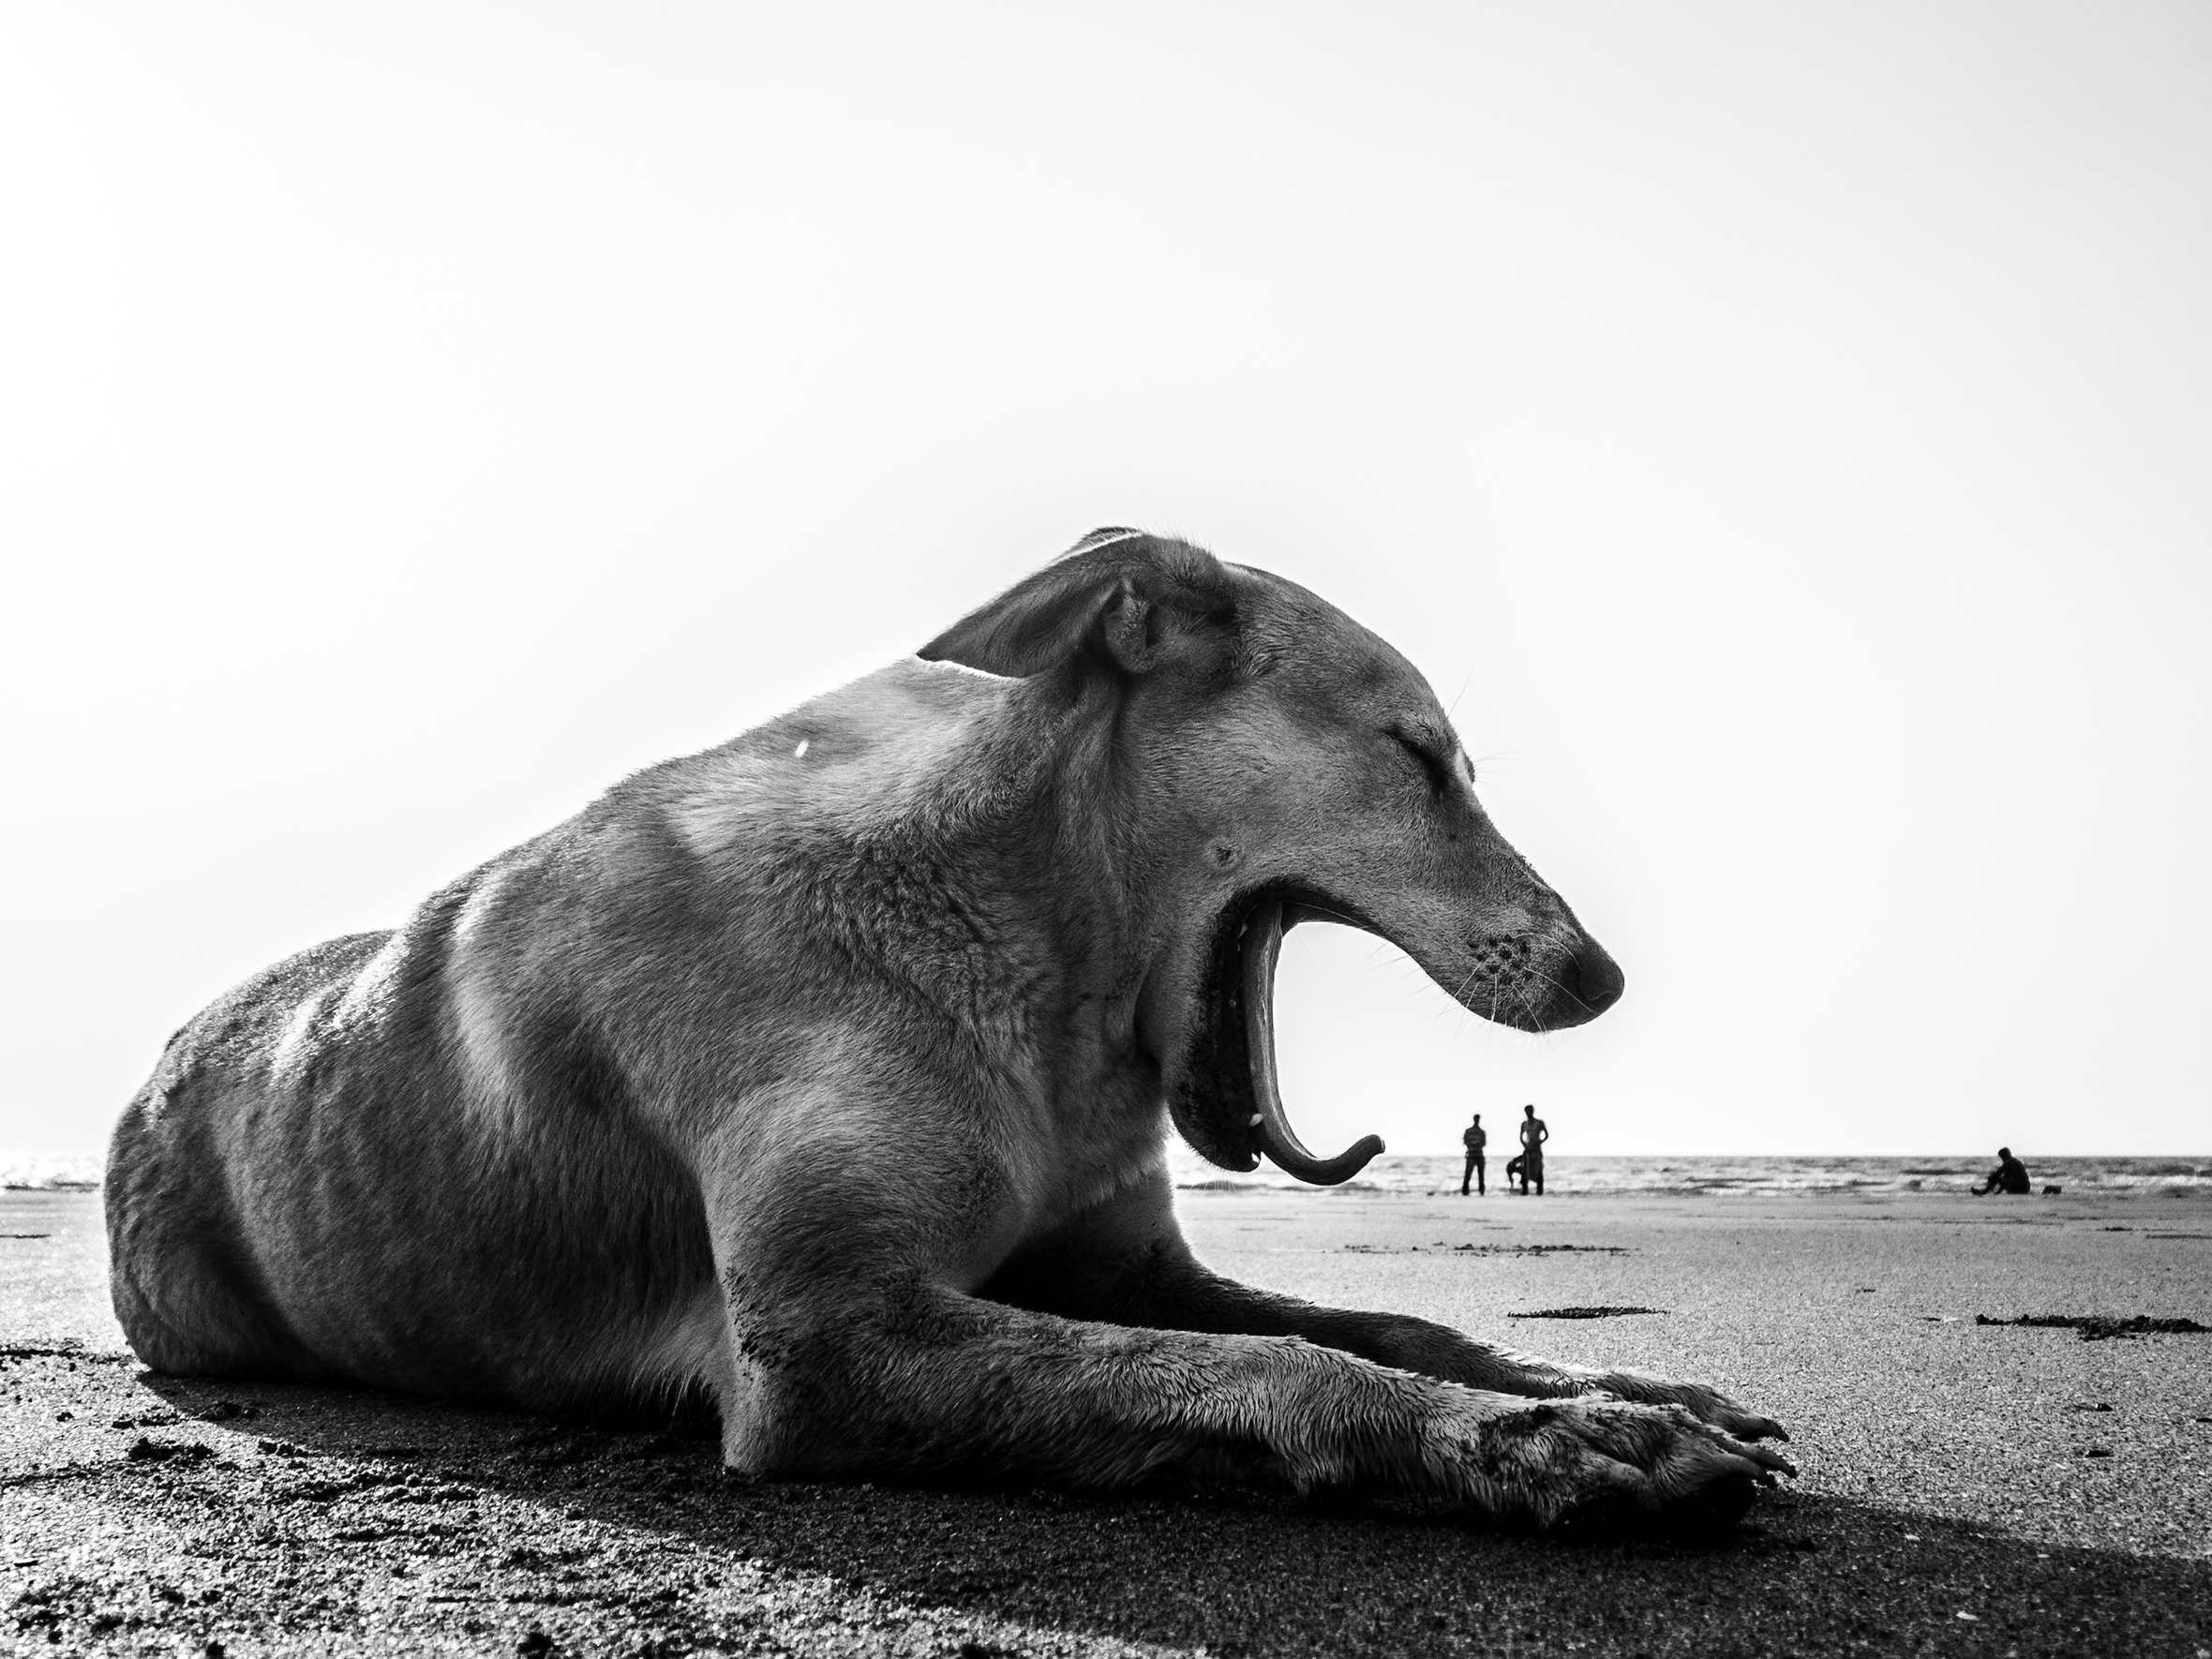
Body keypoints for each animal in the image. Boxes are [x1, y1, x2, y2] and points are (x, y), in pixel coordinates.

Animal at [108, 532, 1796, 1531]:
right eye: (1421, 757)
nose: (1605, 977)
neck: (1032, 965)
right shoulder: (834, 1340)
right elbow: (1290, 1369)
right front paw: (1566, 1444)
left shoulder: (1128, 1266)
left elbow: (1387, 1326)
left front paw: (1622, 1389)